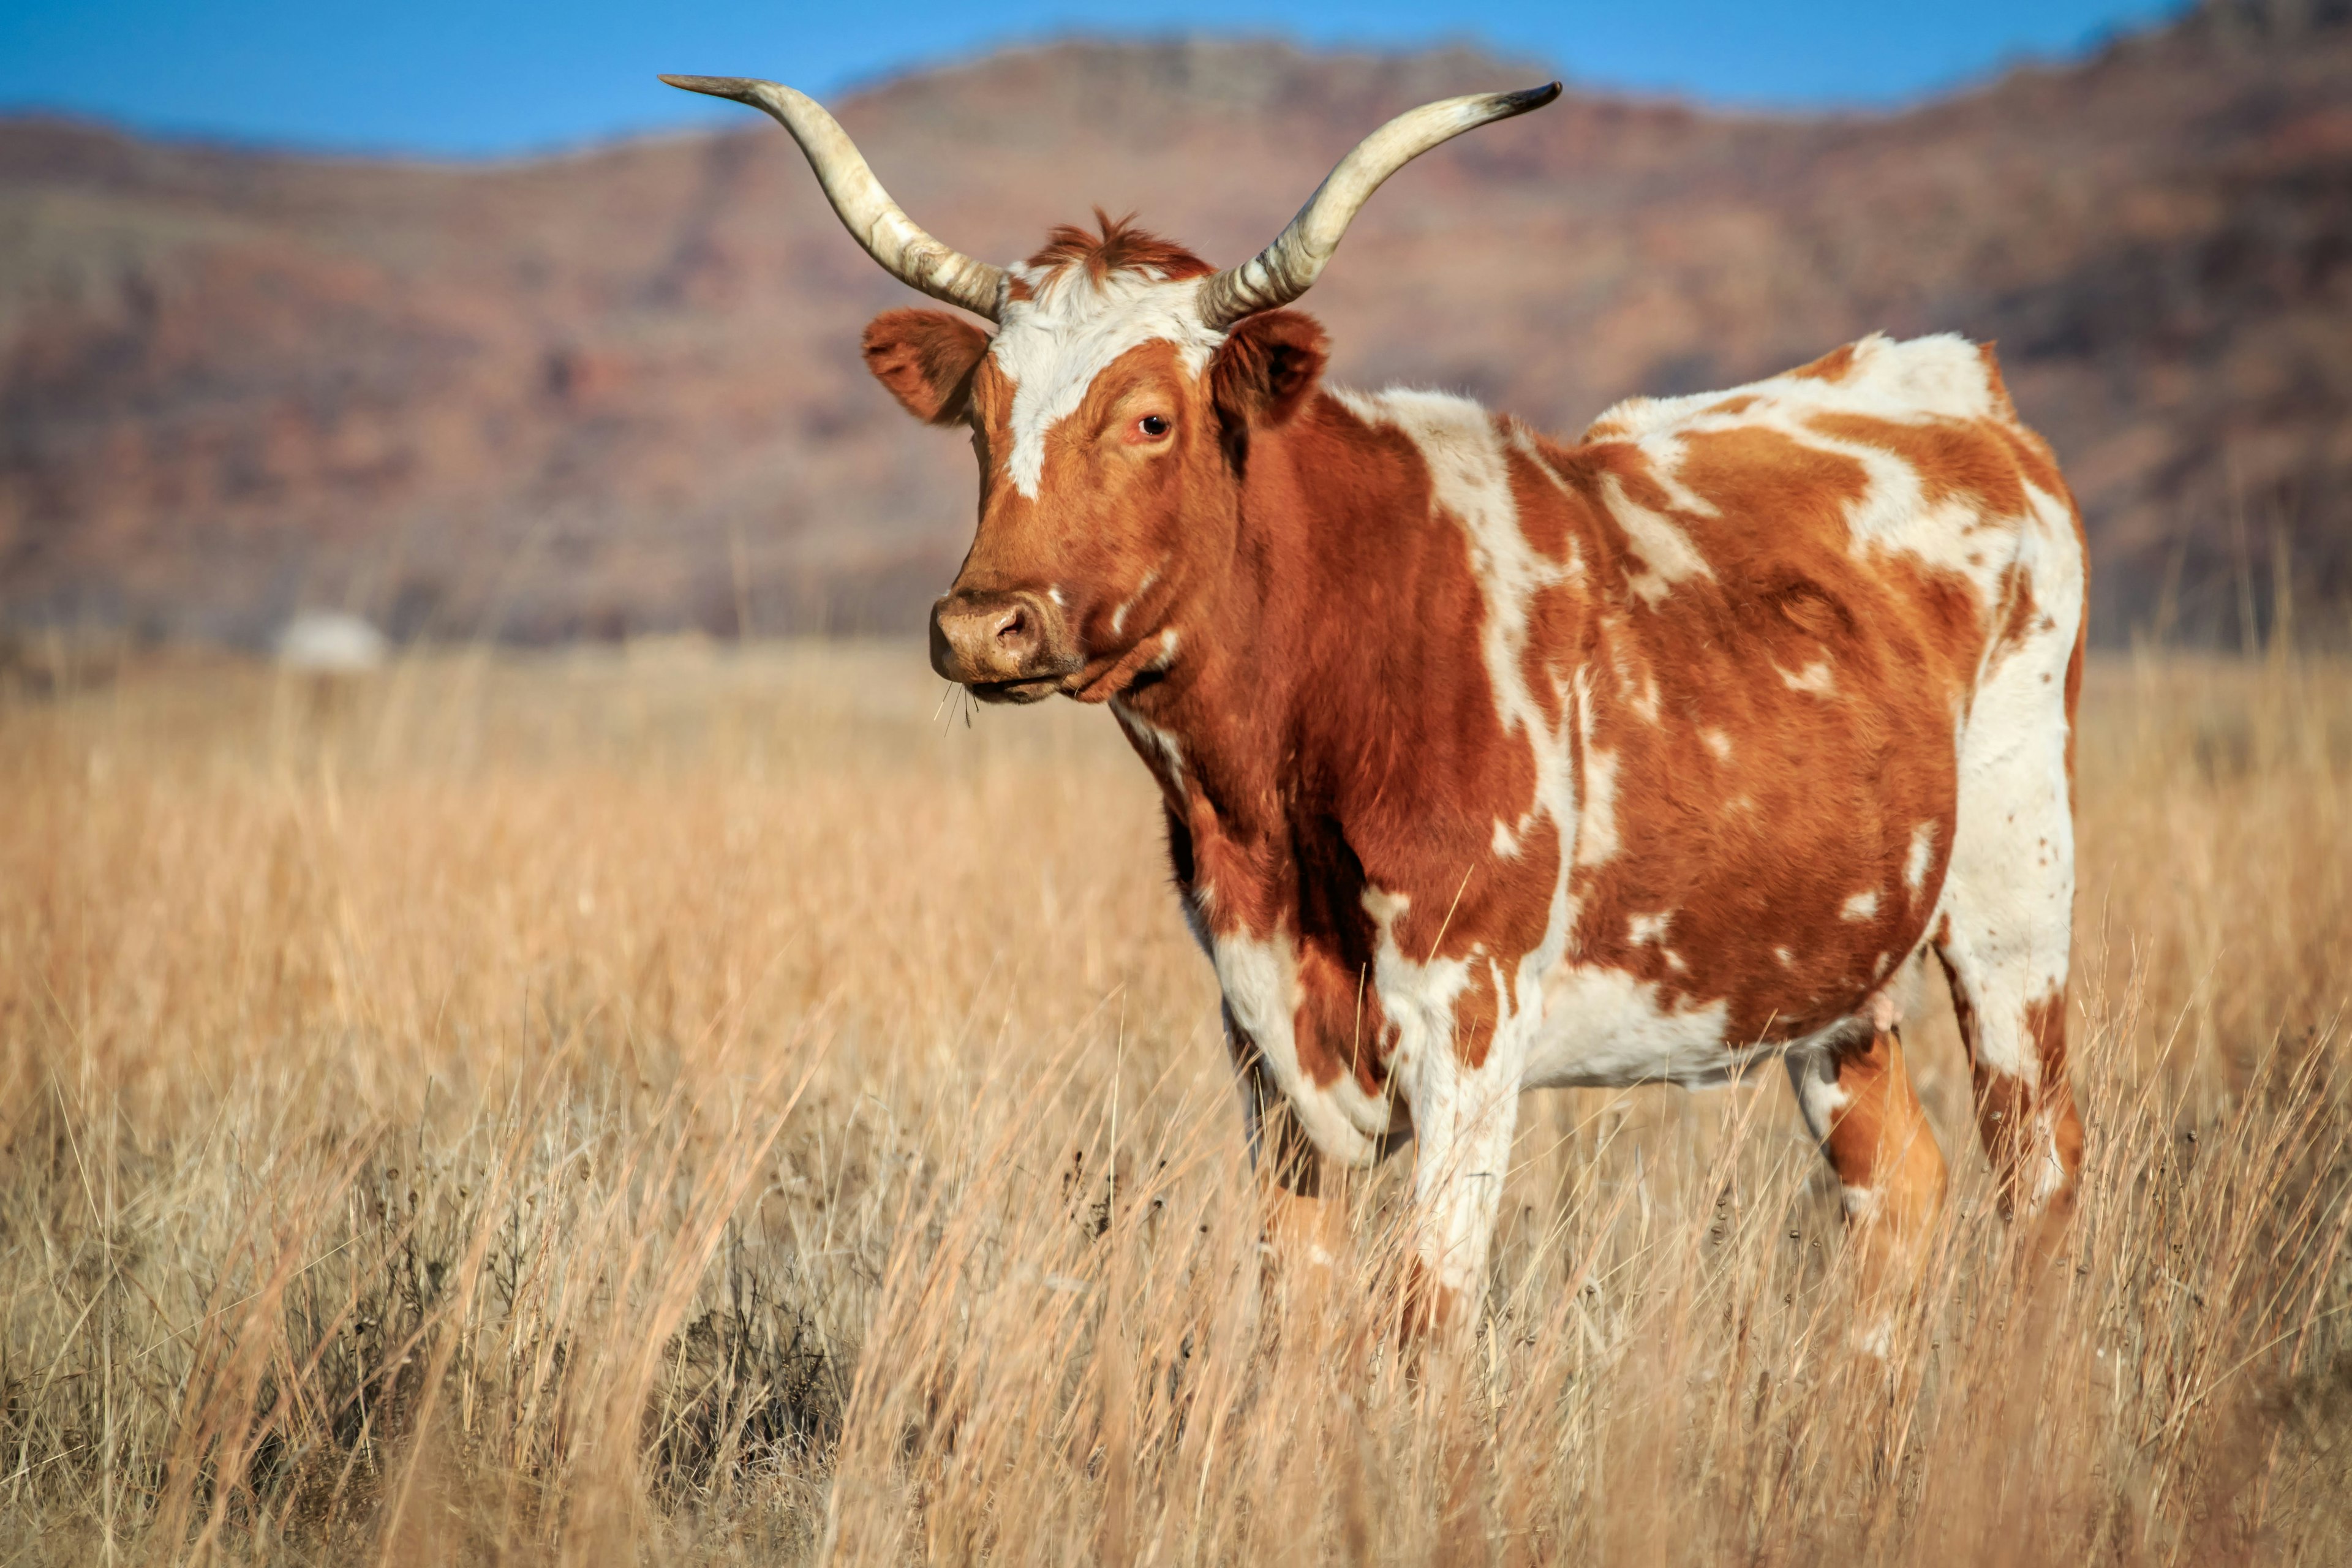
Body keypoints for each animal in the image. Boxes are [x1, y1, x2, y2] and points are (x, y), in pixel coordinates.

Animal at [668, 70, 2098, 1325]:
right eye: (981, 417)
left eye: (1149, 419)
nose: (983, 624)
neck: (1276, 779)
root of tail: (1950, 387)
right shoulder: (1265, 1041)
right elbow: (1297, 1315)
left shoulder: (1470, 1023)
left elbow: (1423, 1314)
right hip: (1834, 968)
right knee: (1898, 1189)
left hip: (2014, 898)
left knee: (2040, 1169)